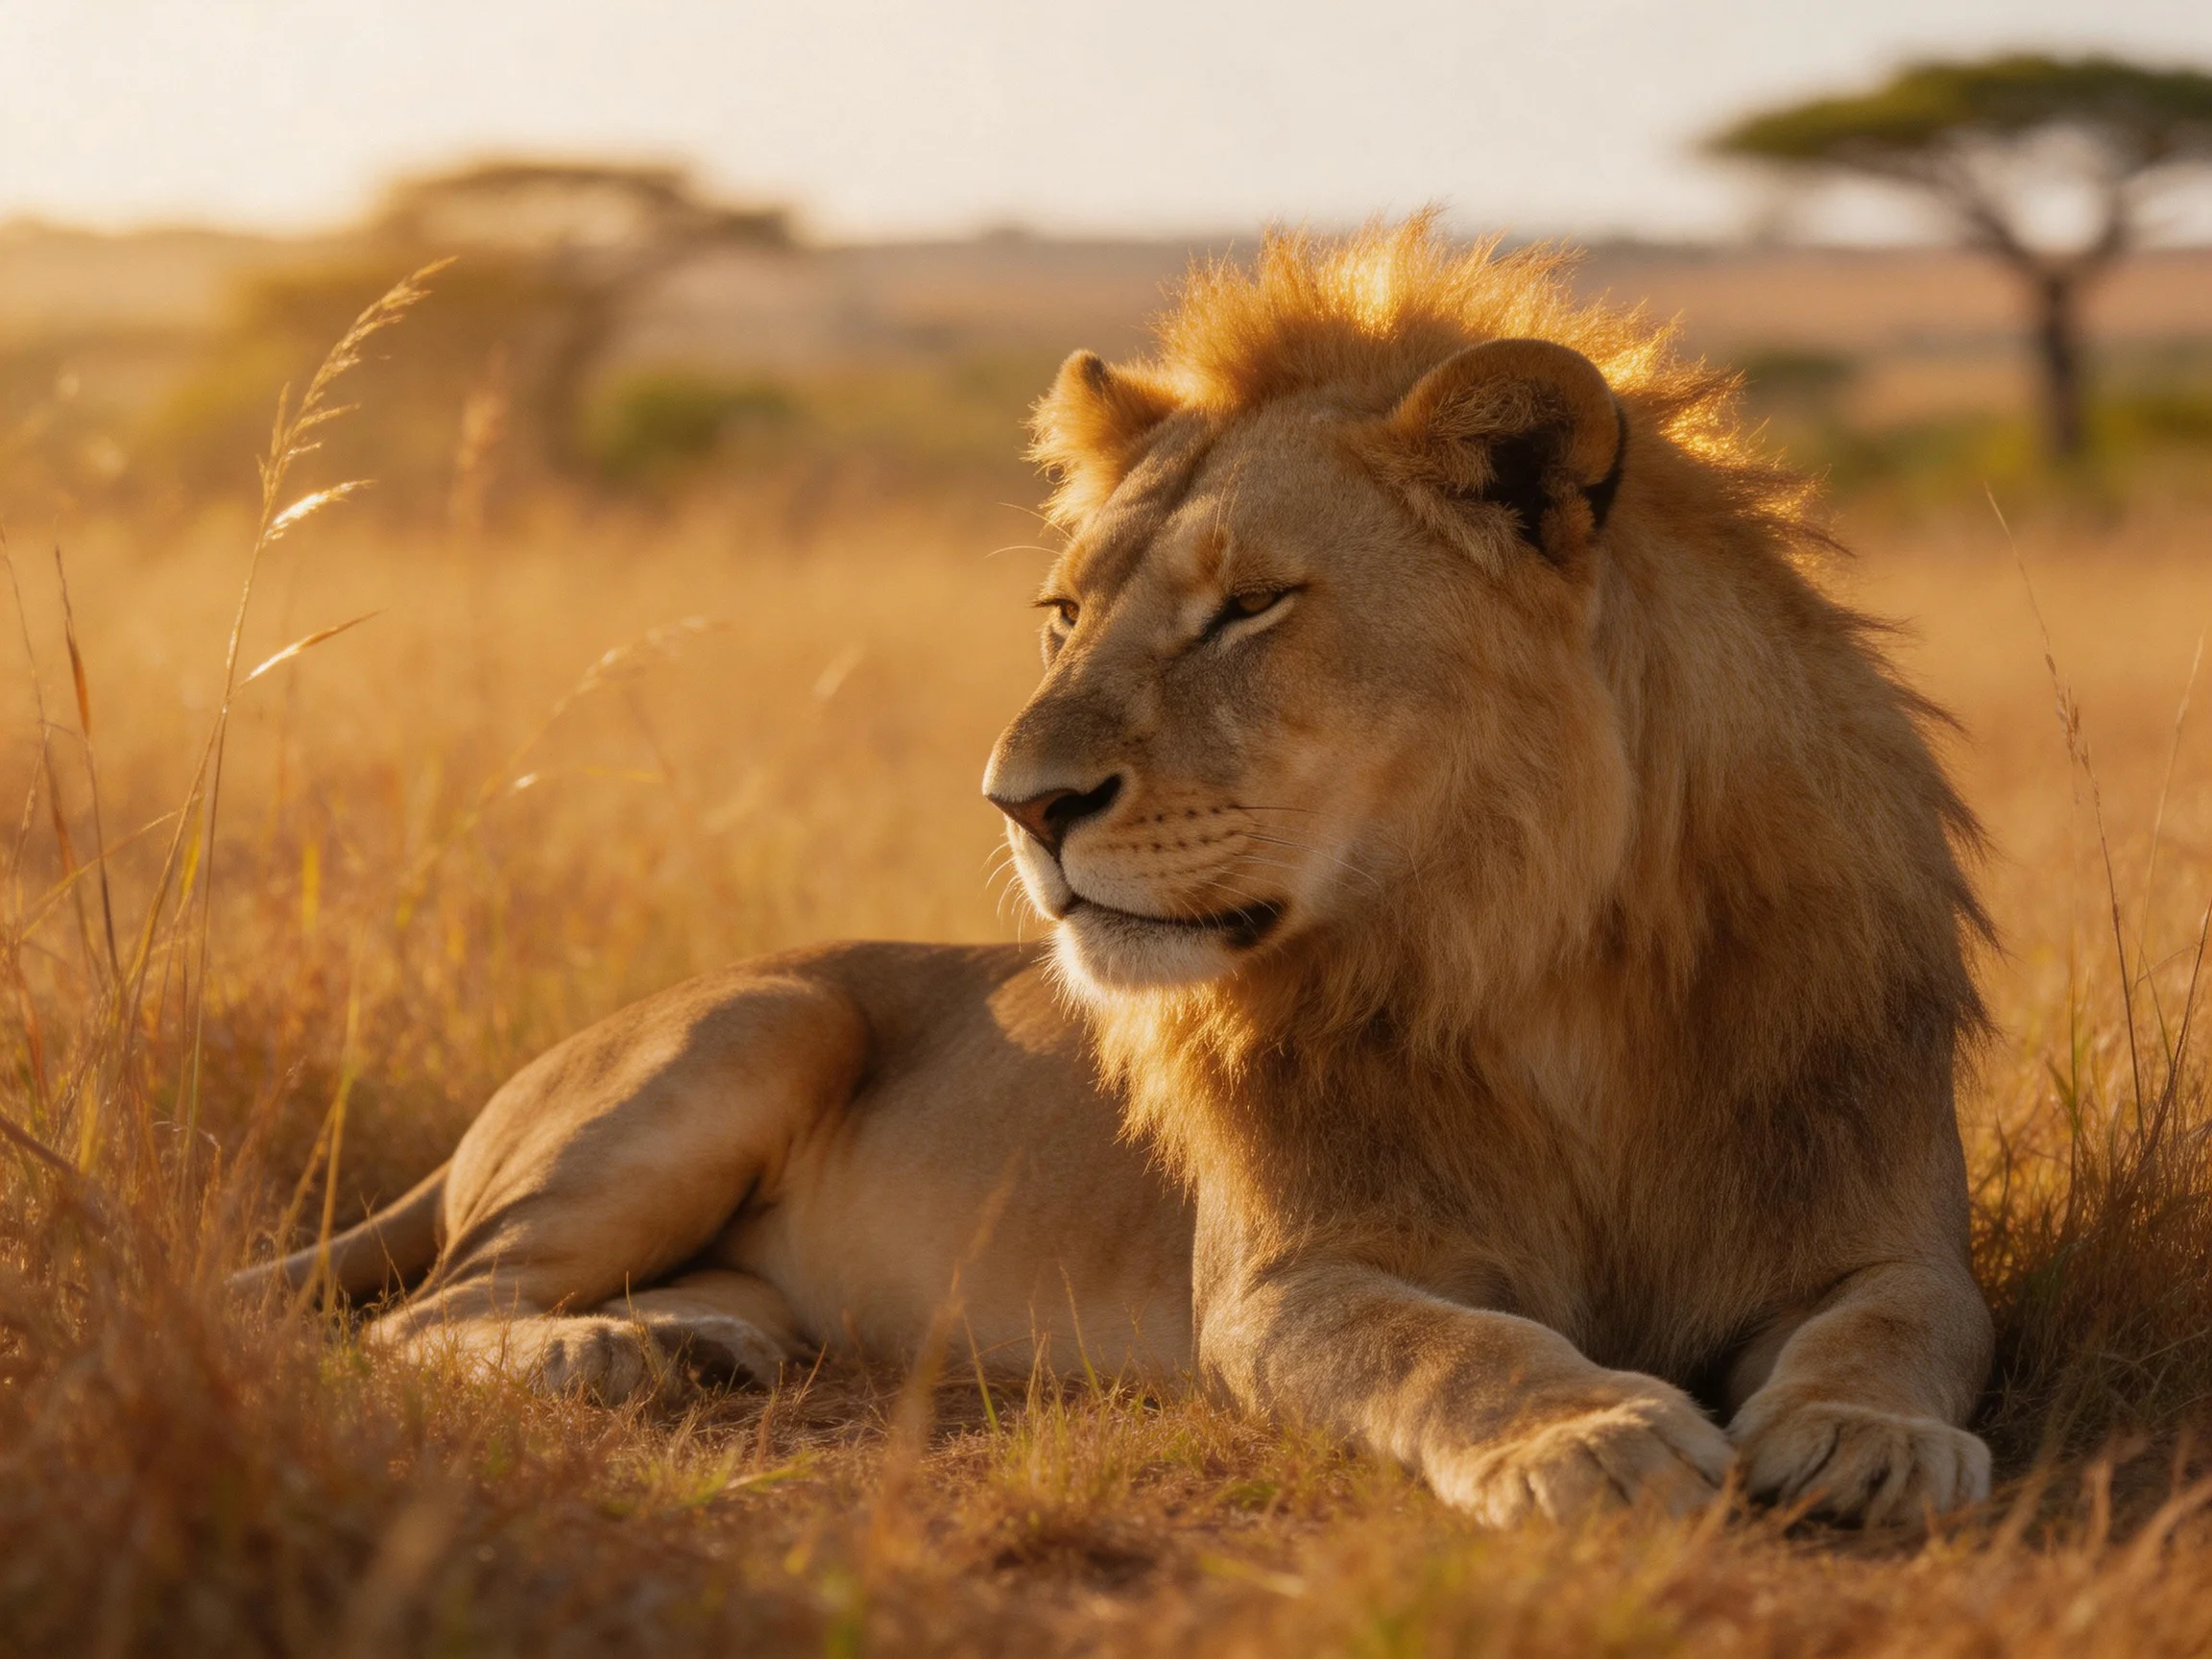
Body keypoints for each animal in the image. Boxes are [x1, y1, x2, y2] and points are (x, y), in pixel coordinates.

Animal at [239, 216, 1994, 1528]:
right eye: (1062, 614)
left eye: (1248, 606)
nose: (1020, 802)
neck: (1531, 951)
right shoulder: (1284, 1284)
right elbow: (1457, 1345)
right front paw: (1590, 1438)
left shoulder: (1888, 1218)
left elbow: (1903, 1320)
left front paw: (1871, 1439)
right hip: (759, 1022)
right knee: (419, 1311)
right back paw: (606, 1360)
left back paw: (693, 1330)